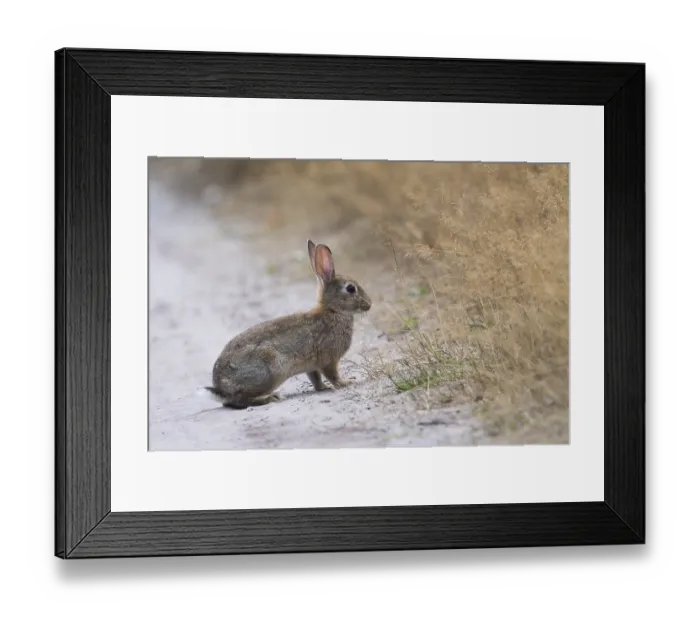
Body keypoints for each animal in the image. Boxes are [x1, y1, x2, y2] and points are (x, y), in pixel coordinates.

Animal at [205, 239, 372, 409]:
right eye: (351, 288)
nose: (369, 304)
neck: (333, 310)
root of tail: (221, 387)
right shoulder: (329, 359)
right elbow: (332, 375)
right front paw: (346, 383)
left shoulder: (312, 366)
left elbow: (315, 378)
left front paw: (323, 387)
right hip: (270, 372)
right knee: (239, 400)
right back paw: (270, 398)